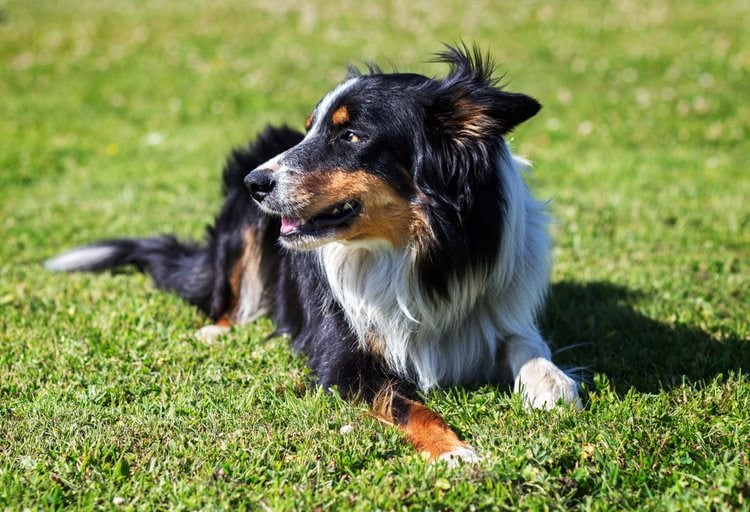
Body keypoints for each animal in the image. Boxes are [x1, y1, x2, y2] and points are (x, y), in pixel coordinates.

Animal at [48, 45, 580, 464]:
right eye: (311, 131)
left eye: (351, 135)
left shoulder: (499, 303)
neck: (417, 252)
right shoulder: (343, 360)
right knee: (228, 297)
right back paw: (216, 329)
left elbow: (526, 344)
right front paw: (453, 450)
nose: (256, 184)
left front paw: (553, 384)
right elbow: (411, 406)